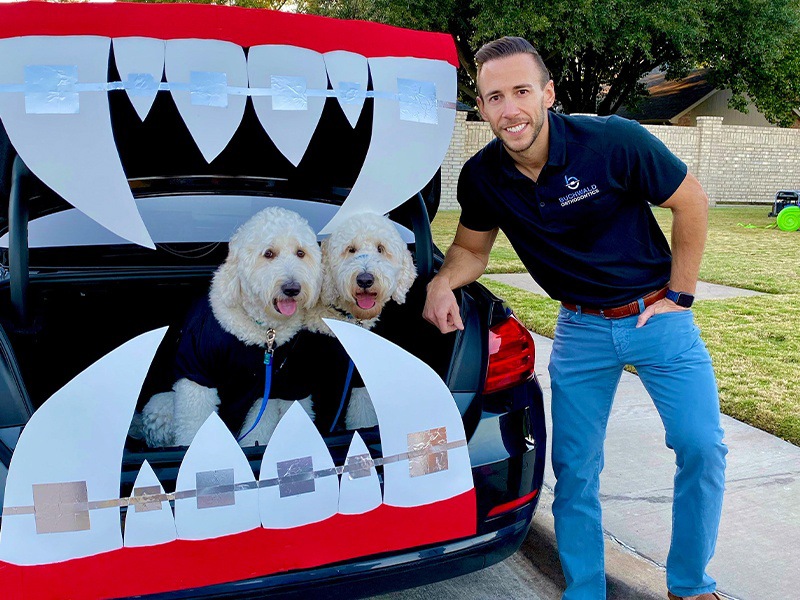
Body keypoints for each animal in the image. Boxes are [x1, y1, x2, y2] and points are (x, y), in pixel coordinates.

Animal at [137, 206, 322, 446]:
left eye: (301, 253)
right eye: (268, 253)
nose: (292, 288)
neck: (264, 331)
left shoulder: (269, 389)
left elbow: (259, 430)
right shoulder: (197, 372)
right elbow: (194, 423)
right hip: (160, 406)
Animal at [306, 213, 418, 428]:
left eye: (381, 248)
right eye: (351, 249)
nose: (365, 279)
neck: (346, 320)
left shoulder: (359, 380)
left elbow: (362, 415)